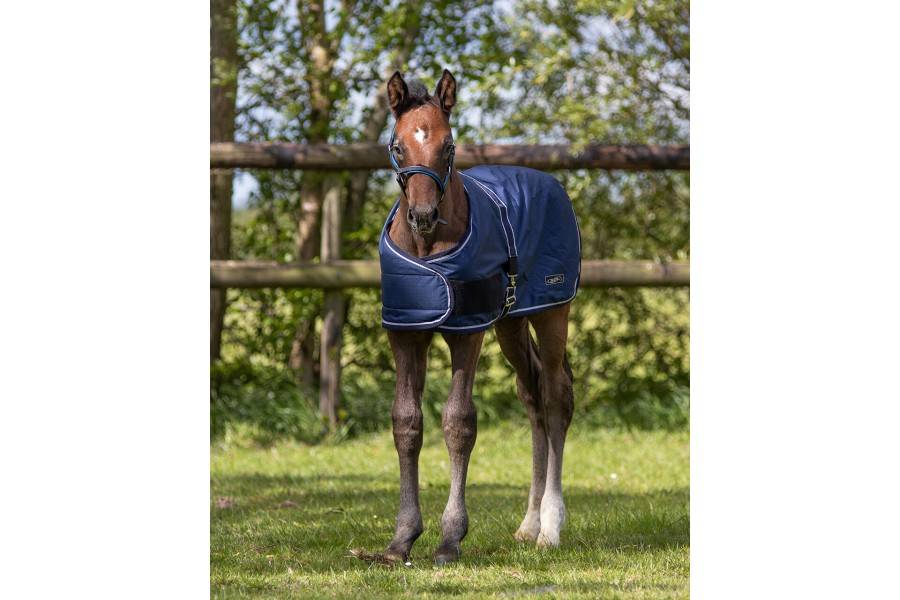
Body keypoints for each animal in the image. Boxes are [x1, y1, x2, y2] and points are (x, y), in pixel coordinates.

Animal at [374, 68, 579, 566]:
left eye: (448, 146)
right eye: (397, 146)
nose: (423, 216)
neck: (427, 252)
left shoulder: (466, 332)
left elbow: (458, 422)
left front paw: (450, 538)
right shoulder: (406, 332)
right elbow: (406, 422)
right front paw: (402, 539)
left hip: (552, 312)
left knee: (555, 398)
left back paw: (550, 527)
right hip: (511, 322)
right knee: (532, 396)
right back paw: (528, 525)